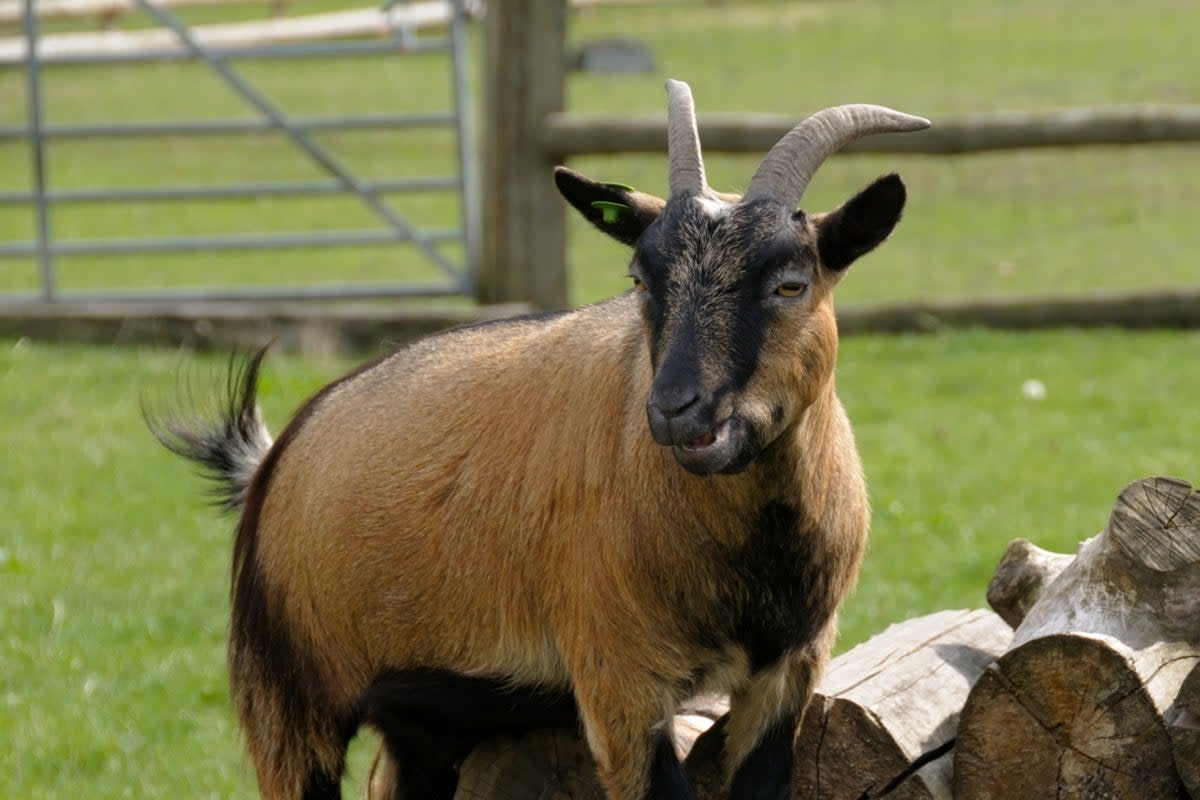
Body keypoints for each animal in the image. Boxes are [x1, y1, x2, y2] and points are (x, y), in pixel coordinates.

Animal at [150, 81, 931, 800]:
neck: (751, 564)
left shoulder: (788, 671)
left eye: (791, 284)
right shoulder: (619, 682)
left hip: (419, 719)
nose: (676, 411)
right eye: (640, 277)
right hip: (286, 703)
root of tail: (274, 459)